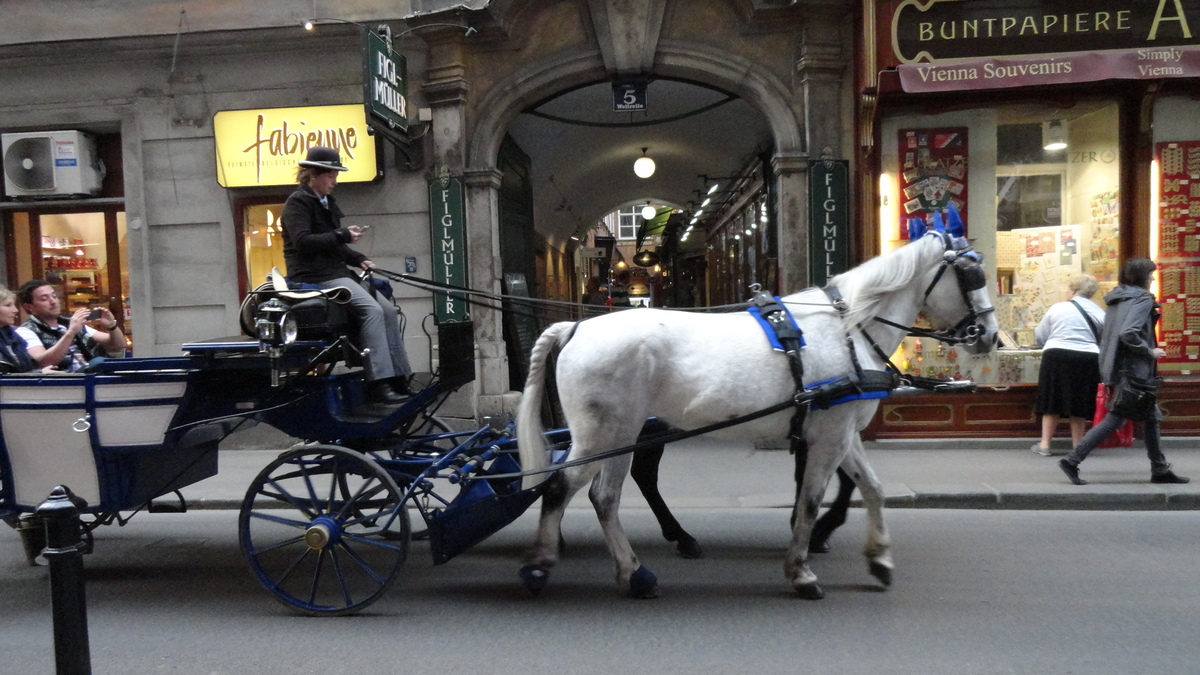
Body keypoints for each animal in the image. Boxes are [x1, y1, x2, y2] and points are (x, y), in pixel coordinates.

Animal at [513, 219, 993, 593]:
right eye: (972, 274)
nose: (989, 335)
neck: (848, 328)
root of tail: (574, 327)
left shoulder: (839, 432)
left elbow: (871, 487)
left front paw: (879, 558)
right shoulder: (828, 437)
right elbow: (811, 500)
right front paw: (801, 570)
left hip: (624, 434)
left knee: (605, 497)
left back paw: (635, 571)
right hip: (603, 433)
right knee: (563, 489)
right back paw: (542, 564)